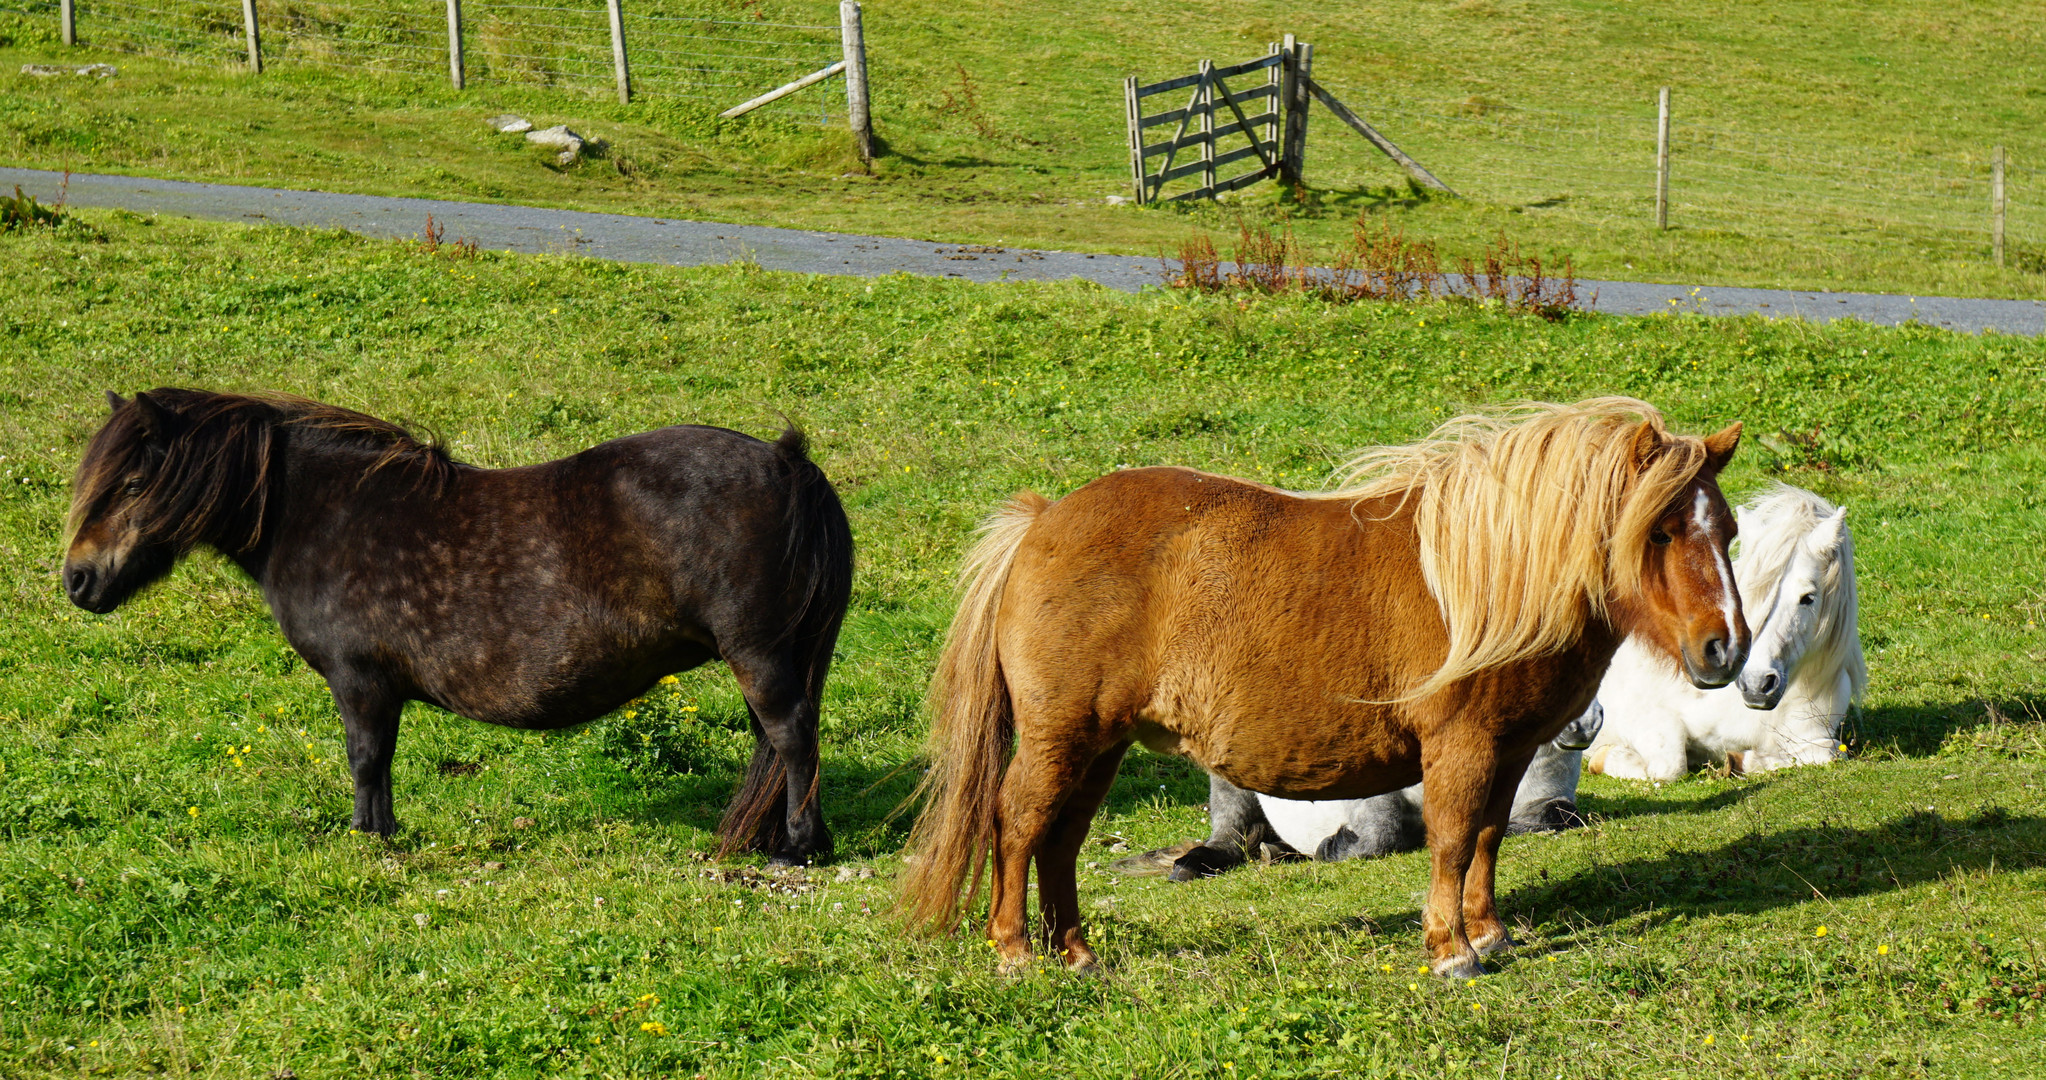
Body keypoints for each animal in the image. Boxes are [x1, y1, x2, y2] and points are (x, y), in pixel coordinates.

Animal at [61, 392, 847, 863]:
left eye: (133, 483)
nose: (77, 580)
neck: (325, 515)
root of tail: (787, 460)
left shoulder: (360, 683)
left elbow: (366, 761)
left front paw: (369, 838)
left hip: (759, 656)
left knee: (792, 738)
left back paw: (798, 844)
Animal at [1129, 703, 1604, 883]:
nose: (1586, 724)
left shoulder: (1548, 800)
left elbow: (1562, 814)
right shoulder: (1380, 792)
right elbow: (1384, 829)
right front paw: (1334, 847)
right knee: (1231, 832)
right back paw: (1196, 863)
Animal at [1587, 484, 1865, 781]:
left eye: (1808, 598)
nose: (1756, 685)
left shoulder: (1813, 737)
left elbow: (1829, 752)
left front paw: (1738, 761)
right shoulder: (1643, 716)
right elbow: (1670, 764)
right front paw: (1603, 757)